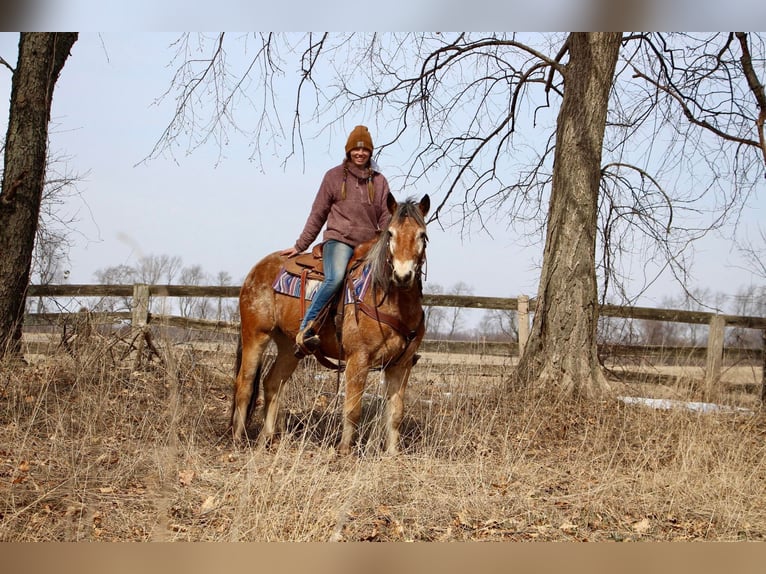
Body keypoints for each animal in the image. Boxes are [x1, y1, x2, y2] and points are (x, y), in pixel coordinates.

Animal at [228, 196, 432, 456]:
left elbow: (396, 413)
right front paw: (344, 451)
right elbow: (353, 410)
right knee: (244, 384)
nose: (403, 276)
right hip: (255, 335)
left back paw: (268, 439)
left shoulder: (401, 365)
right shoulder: (358, 359)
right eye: (391, 234)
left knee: (272, 382)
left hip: (289, 347)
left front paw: (392, 454)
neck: (386, 299)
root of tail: (256, 270)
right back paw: (237, 439)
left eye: (422, 235)